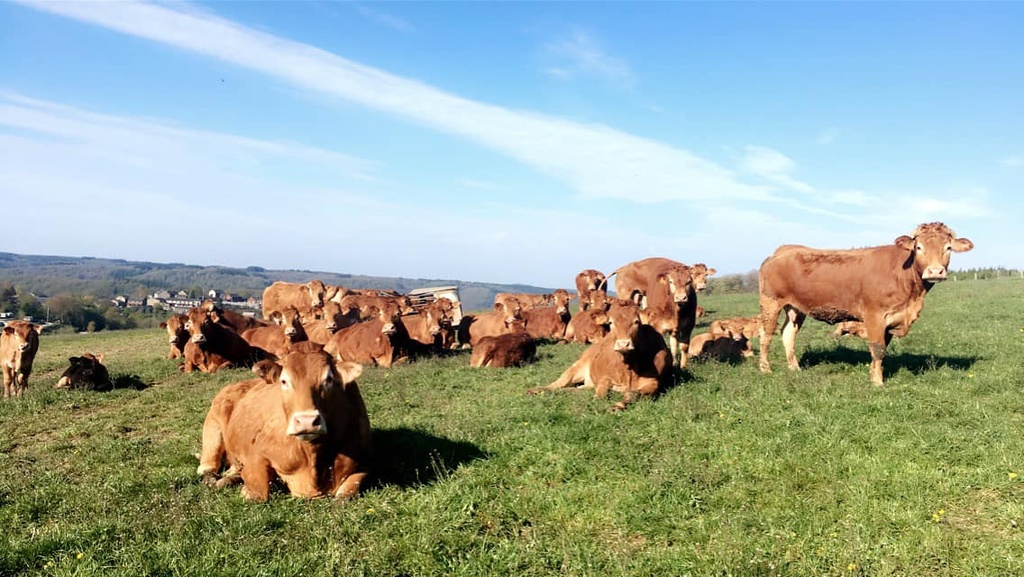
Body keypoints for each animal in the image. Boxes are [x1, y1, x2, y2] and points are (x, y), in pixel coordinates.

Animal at [528, 303, 671, 409]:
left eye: (637, 322)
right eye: (611, 323)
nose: (623, 344)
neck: (629, 368)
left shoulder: (653, 383)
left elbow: (633, 394)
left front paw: (618, 405)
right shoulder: (605, 377)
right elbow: (601, 391)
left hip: (587, 384)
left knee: (572, 389)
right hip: (576, 368)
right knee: (555, 385)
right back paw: (535, 390)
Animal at [761, 223, 974, 385]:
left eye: (948, 248)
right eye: (918, 247)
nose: (935, 271)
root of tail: (784, 250)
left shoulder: (890, 320)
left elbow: (881, 349)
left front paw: (873, 375)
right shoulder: (875, 315)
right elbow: (878, 349)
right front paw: (878, 382)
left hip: (796, 308)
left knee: (788, 334)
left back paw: (794, 368)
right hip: (770, 302)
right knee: (766, 335)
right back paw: (765, 369)